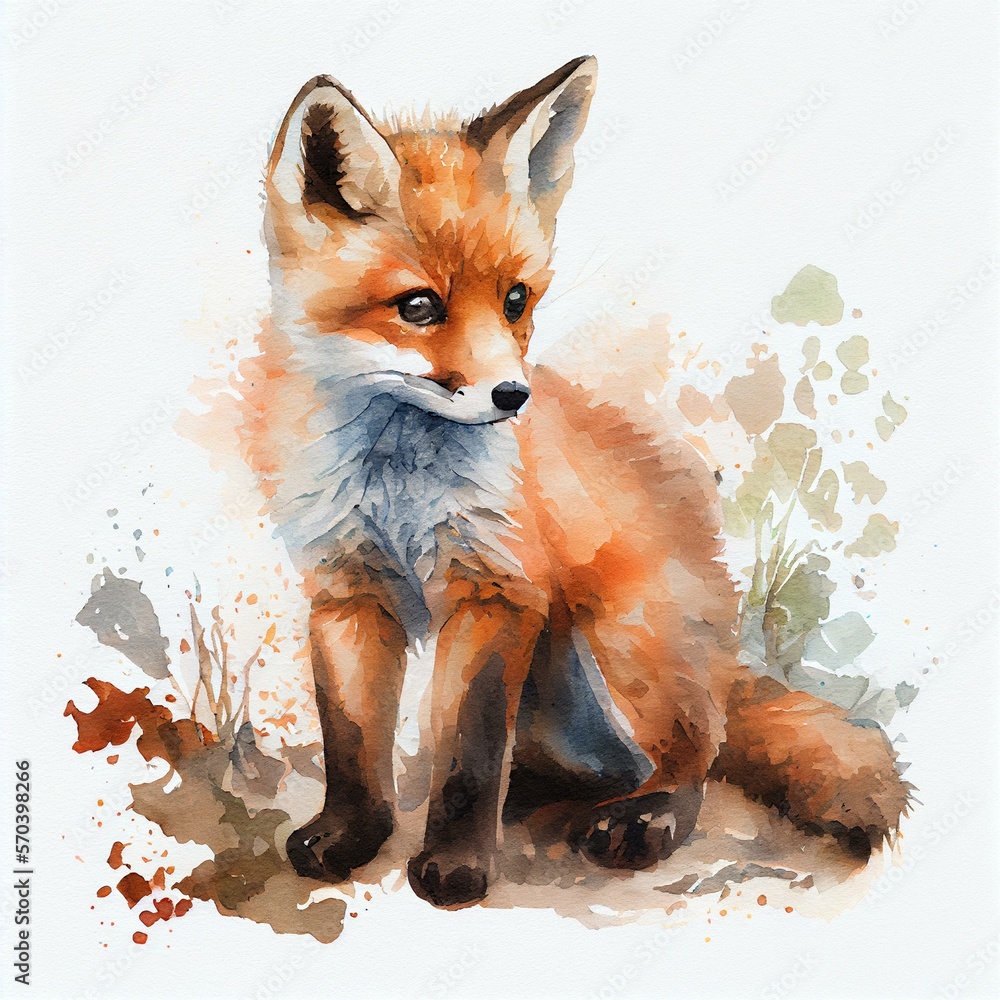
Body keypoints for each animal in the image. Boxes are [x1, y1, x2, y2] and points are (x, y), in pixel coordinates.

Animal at [236, 56, 910, 909]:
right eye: (418, 306)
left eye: (515, 299)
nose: (511, 396)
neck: (397, 480)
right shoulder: (347, 587)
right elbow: (354, 744)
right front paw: (351, 836)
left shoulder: (498, 587)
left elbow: (467, 758)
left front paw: (455, 867)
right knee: (573, 766)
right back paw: (538, 794)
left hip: (625, 642)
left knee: (694, 758)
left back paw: (645, 816)